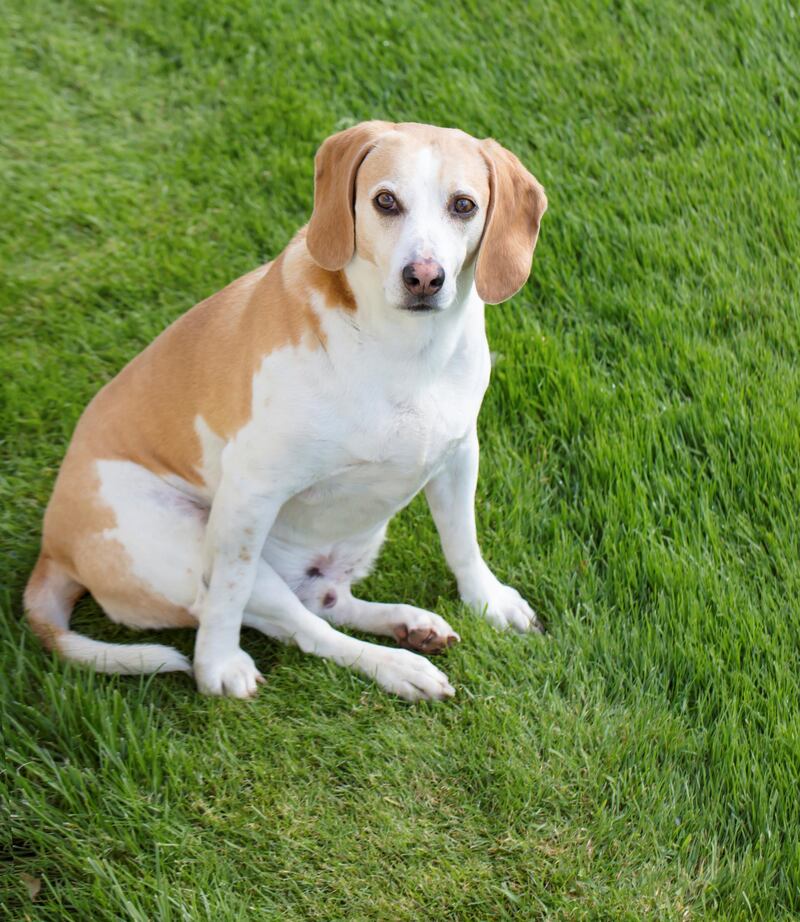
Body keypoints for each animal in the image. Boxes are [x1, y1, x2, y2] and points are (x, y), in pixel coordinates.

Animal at [26, 118, 552, 700]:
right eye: (385, 200)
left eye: (463, 205)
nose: (423, 277)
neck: (403, 351)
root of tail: (53, 549)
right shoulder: (250, 493)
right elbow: (228, 595)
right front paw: (216, 666)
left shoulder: (458, 456)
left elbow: (462, 541)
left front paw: (488, 601)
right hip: (195, 540)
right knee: (303, 628)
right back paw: (398, 667)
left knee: (325, 603)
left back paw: (408, 625)